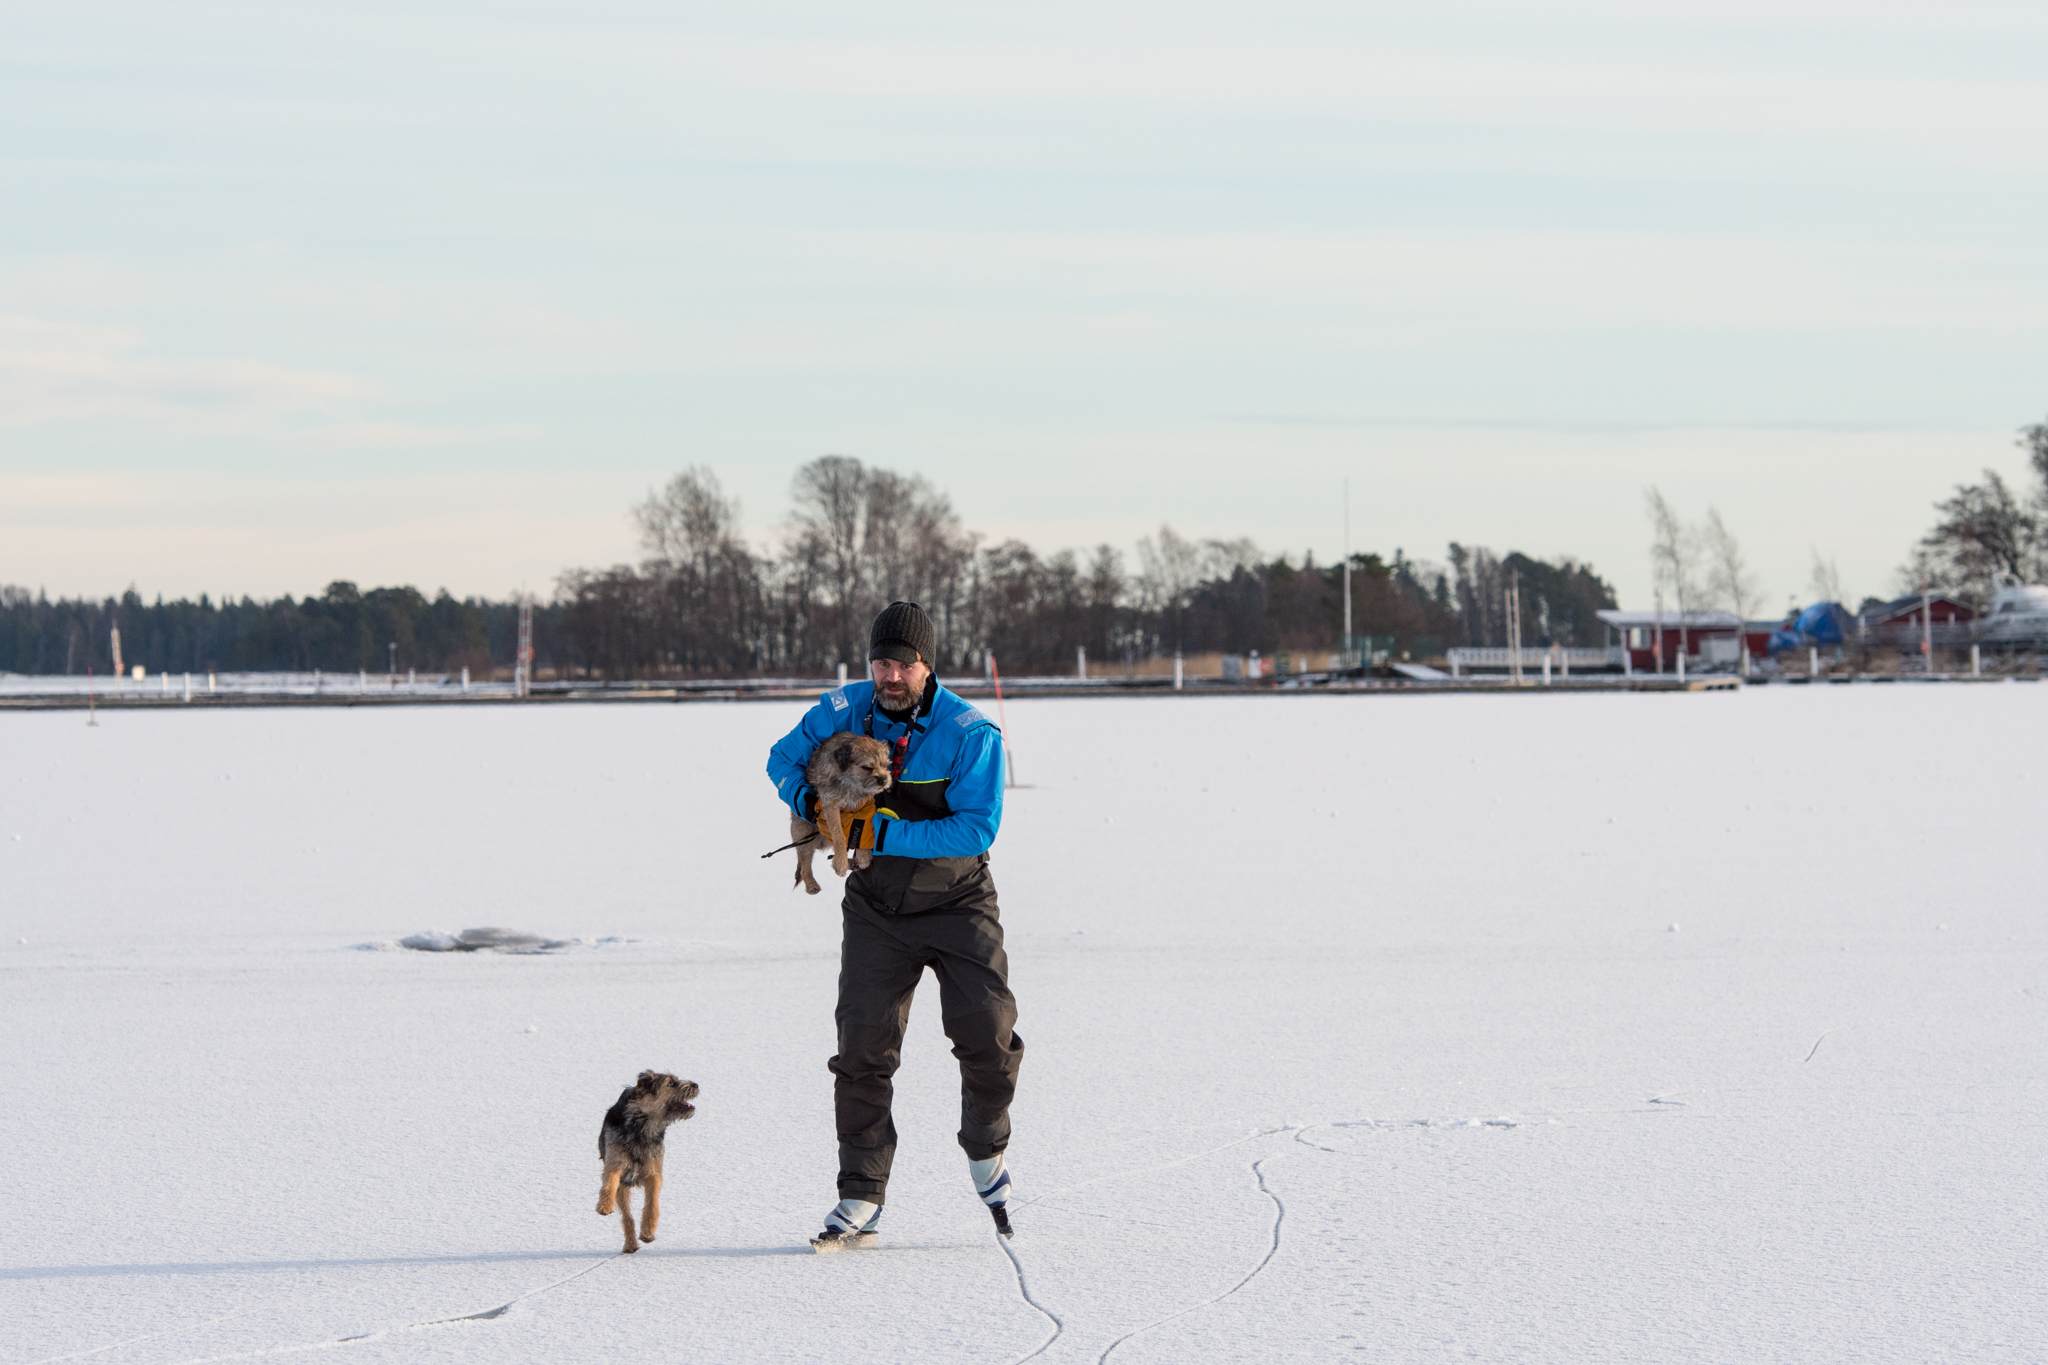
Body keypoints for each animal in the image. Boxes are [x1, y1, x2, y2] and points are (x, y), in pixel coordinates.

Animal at [598, 1072, 700, 1252]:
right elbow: (610, 1182)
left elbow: (652, 1204)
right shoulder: (615, 1164)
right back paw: (630, 1244)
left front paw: (648, 1230)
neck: (642, 1126)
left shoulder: (654, 1173)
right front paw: (604, 1205)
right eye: (671, 1083)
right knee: (627, 1216)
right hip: (623, 1188)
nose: (695, 1085)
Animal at [790, 736, 897, 896]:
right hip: (805, 835)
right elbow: (839, 835)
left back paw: (852, 862)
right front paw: (841, 863)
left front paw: (863, 855)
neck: (851, 784)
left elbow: (863, 829)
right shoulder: (830, 804)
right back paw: (811, 883)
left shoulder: (866, 805)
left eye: (885, 765)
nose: (884, 780)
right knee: (804, 865)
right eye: (867, 767)